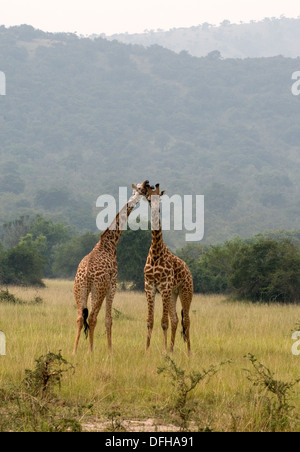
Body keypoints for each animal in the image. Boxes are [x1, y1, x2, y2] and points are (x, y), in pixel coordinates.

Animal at [73, 180, 150, 354]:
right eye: (143, 189)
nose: (148, 185)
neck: (109, 243)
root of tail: (86, 273)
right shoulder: (113, 285)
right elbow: (109, 319)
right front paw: (110, 351)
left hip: (80, 289)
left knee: (80, 317)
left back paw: (74, 351)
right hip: (99, 289)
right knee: (92, 317)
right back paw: (90, 351)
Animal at [139, 182, 193, 354]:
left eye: (160, 199)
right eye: (149, 199)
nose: (157, 209)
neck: (156, 252)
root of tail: (188, 270)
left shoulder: (164, 286)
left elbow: (163, 322)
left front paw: (162, 351)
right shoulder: (149, 286)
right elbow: (150, 320)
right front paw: (147, 350)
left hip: (185, 291)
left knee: (186, 320)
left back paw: (189, 351)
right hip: (173, 293)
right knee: (175, 319)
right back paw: (171, 349)